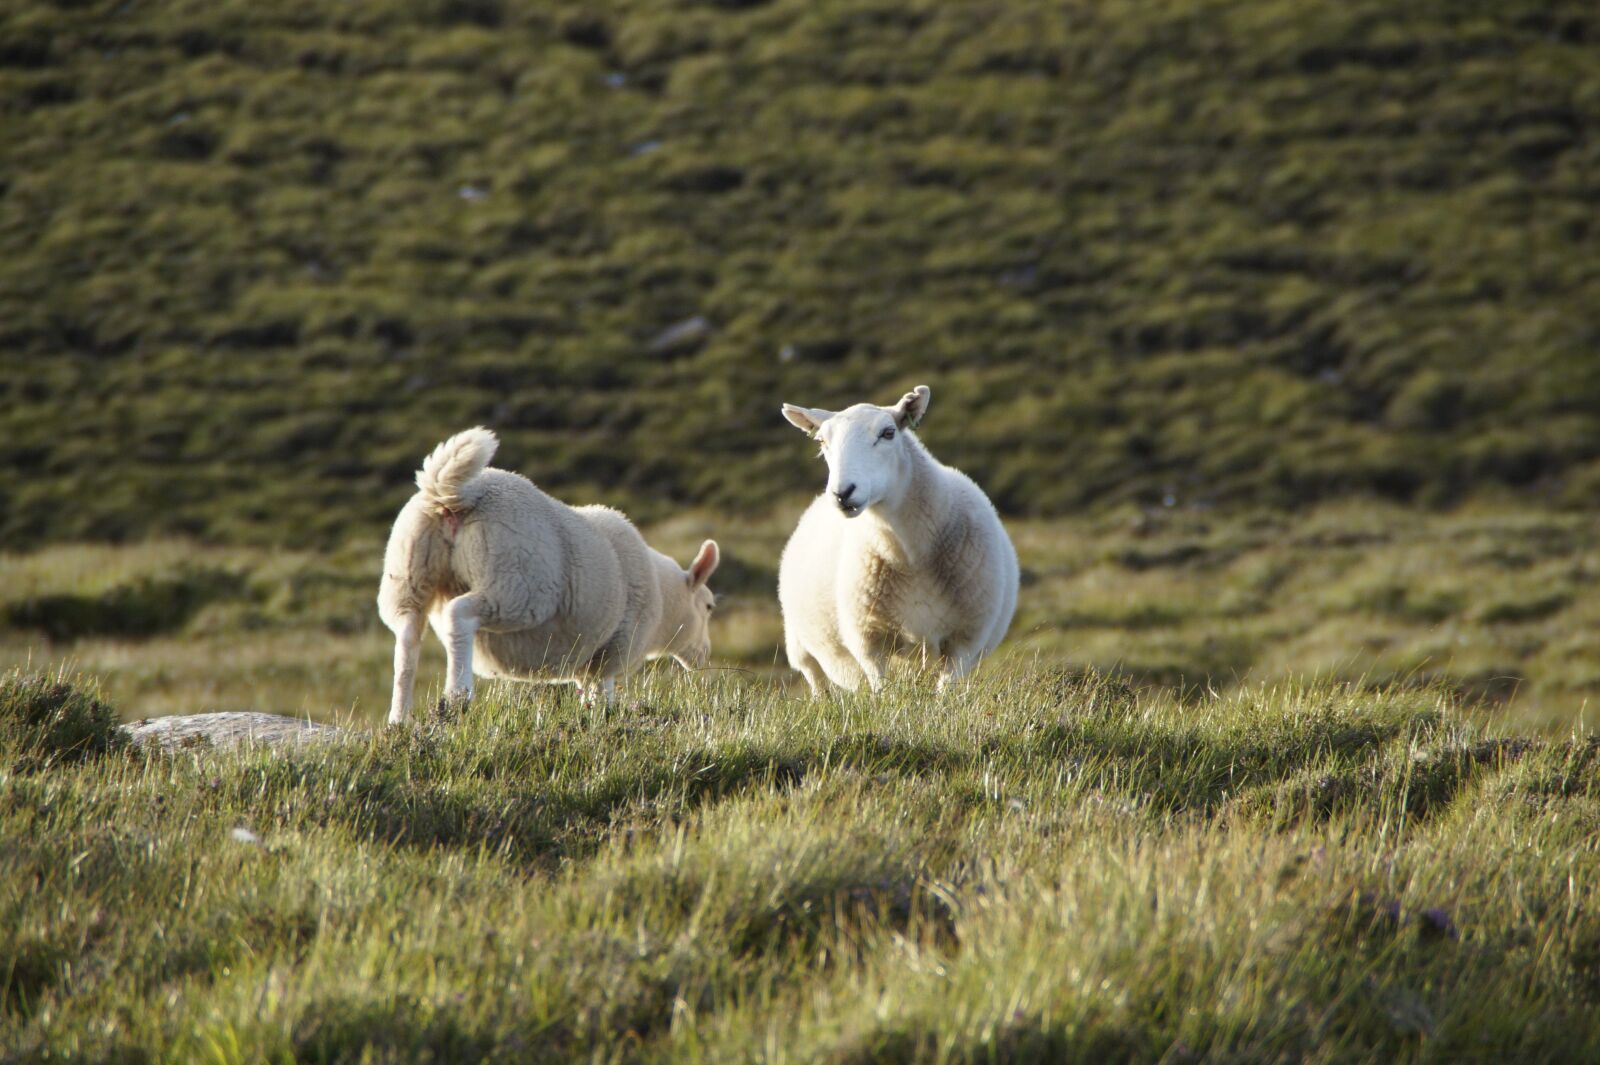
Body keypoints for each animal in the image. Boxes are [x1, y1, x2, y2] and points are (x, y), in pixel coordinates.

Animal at [377, 427, 720, 723]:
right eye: (709, 607)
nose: (705, 657)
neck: (664, 598)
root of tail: (455, 496)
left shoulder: (587, 659)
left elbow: (588, 695)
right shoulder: (613, 649)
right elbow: (604, 693)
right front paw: (605, 719)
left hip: (408, 574)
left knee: (407, 639)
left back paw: (399, 718)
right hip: (516, 585)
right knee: (459, 614)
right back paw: (457, 696)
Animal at [776, 385, 1018, 693]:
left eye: (888, 433)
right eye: (821, 441)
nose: (842, 493)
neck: (910, 557)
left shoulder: (964, 640)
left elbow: (945, 694)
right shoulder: (868, 640)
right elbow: (882, 691)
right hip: (800, 645)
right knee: (817, 681)